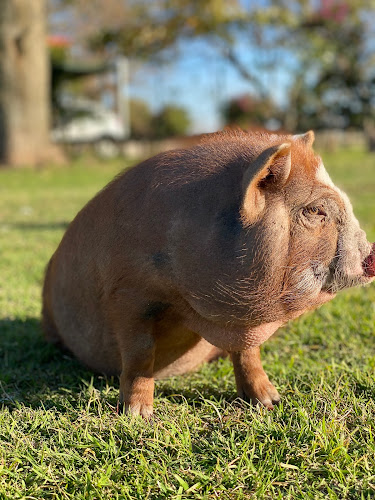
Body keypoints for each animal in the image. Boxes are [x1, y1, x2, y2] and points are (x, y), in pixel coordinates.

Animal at [41, 130, 375, 418]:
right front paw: (138, 416)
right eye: (316, 210)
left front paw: (270, 402)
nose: (372, 254)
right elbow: (139, 353)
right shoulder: (126, 292)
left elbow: (248, 353)